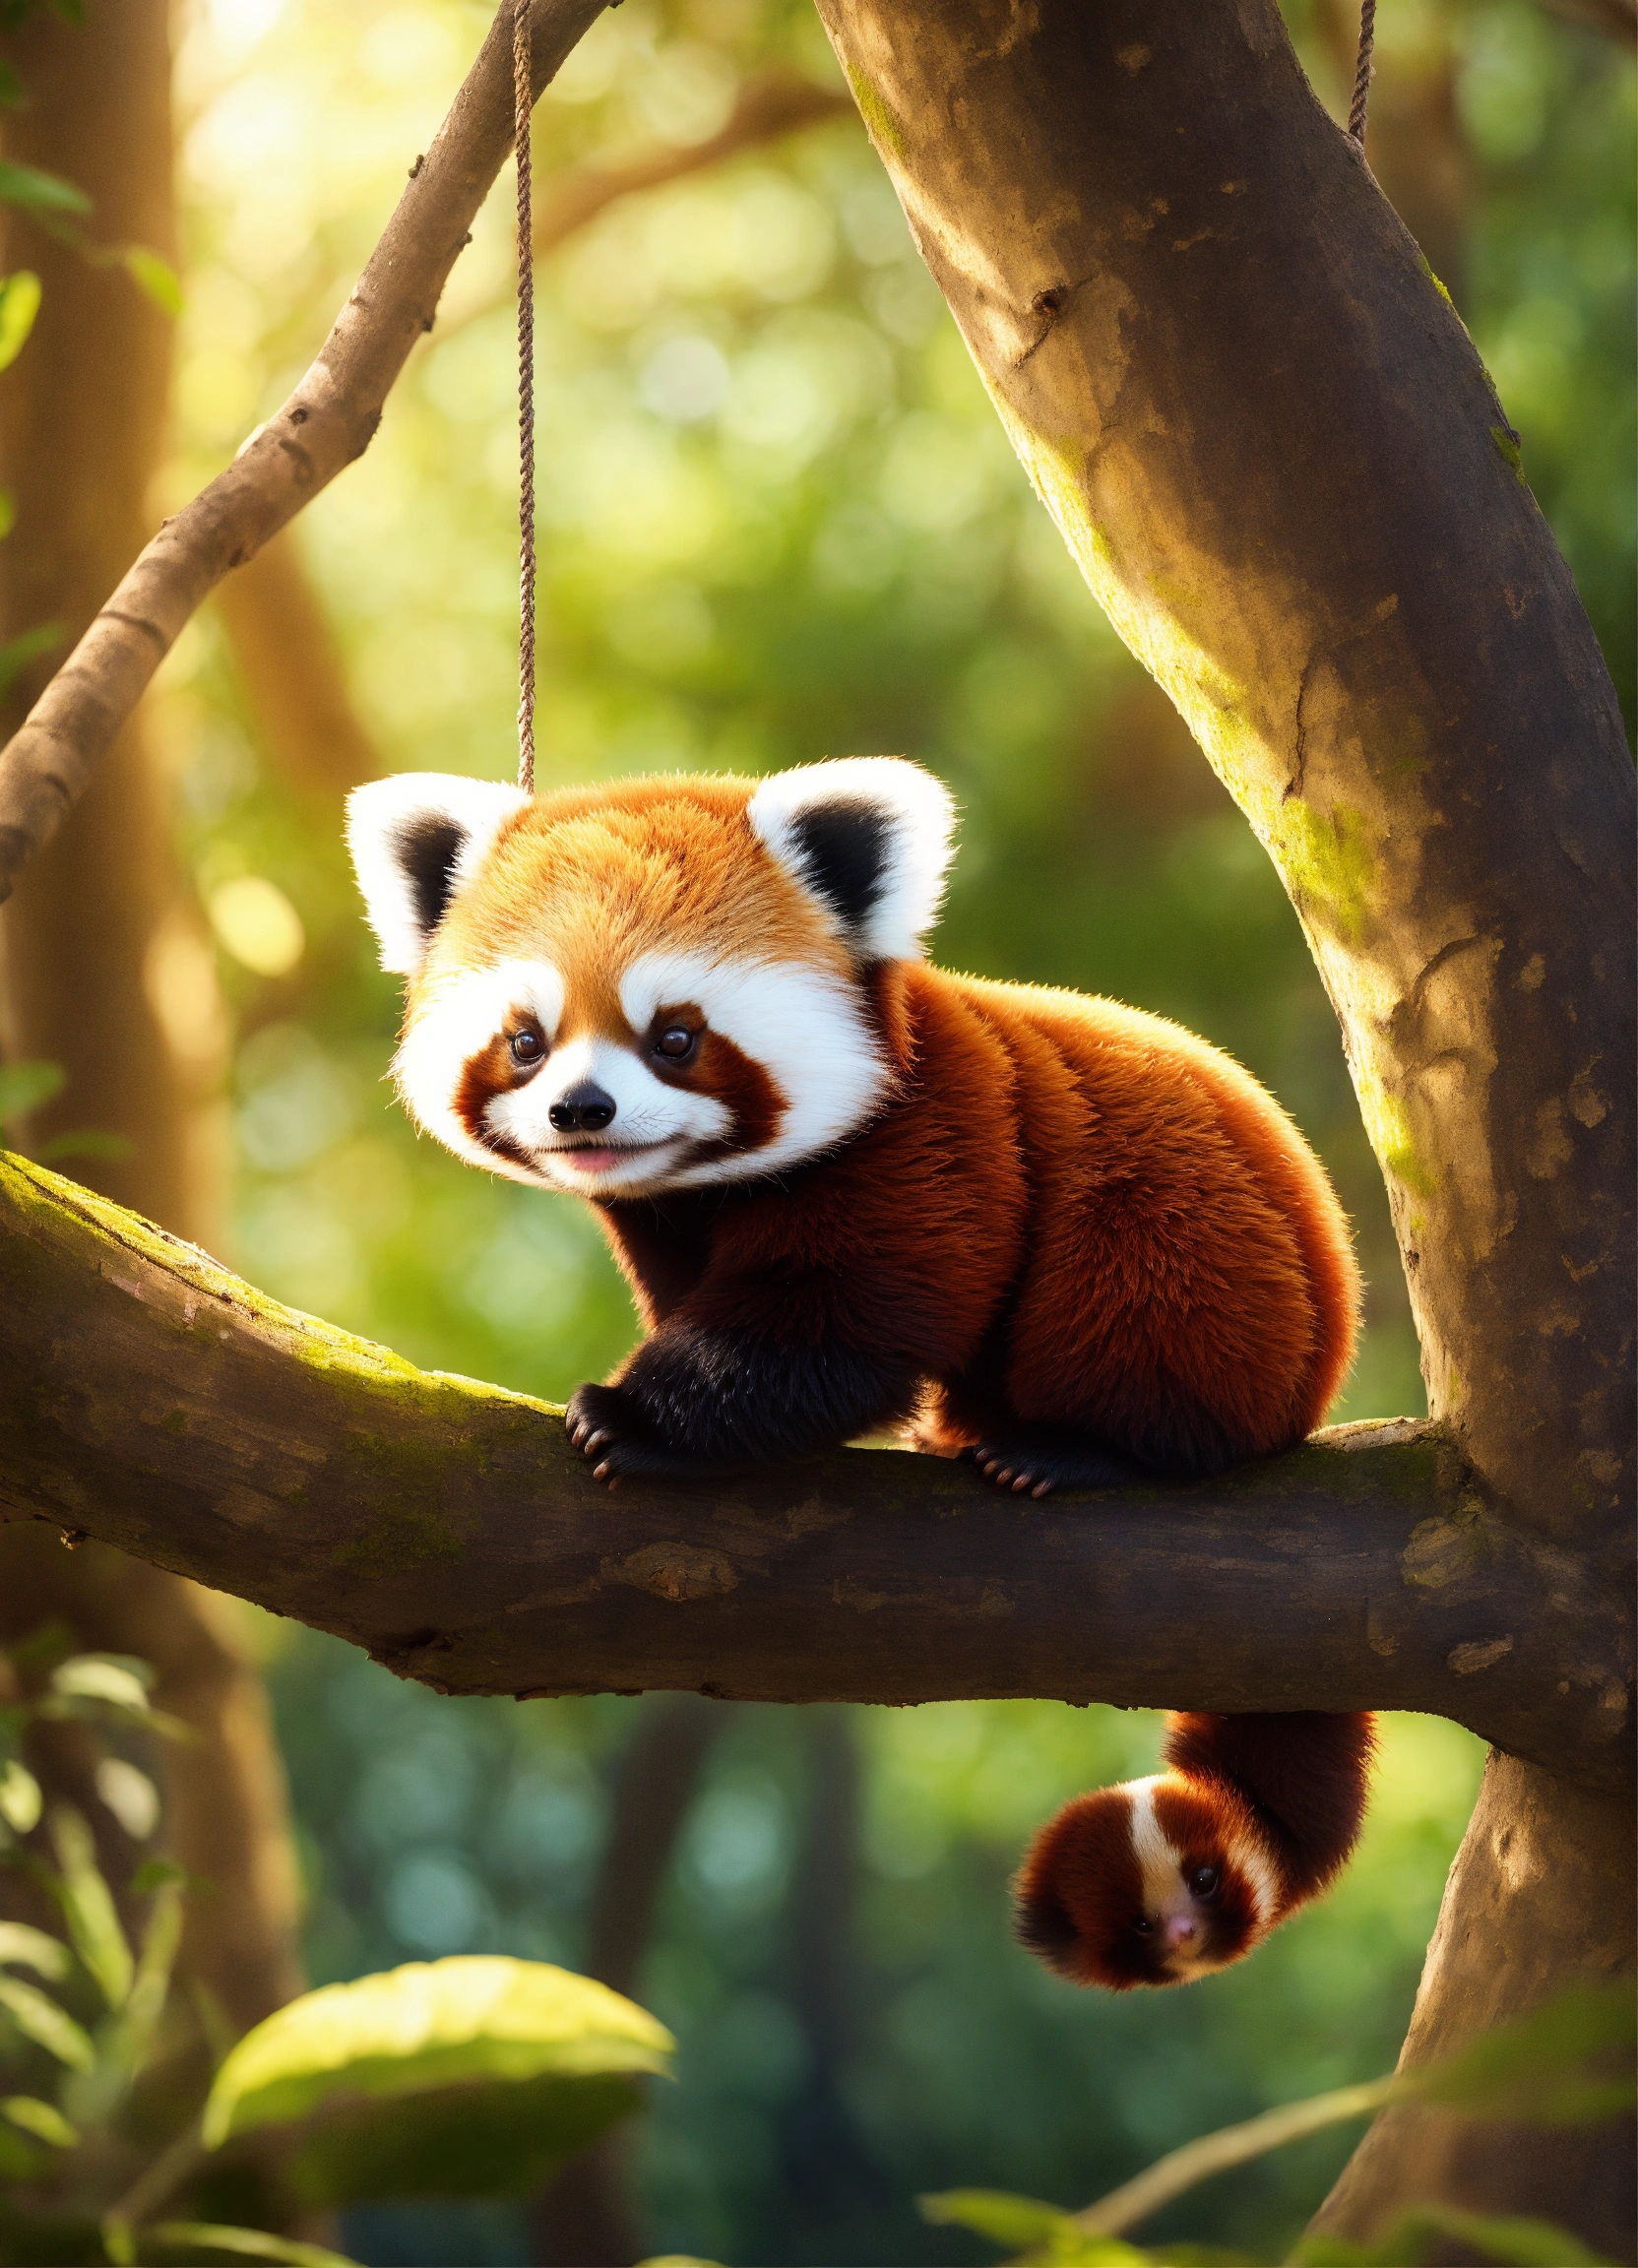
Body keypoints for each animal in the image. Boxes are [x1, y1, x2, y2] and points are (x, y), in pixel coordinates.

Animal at [348, 755, 1372, 1984]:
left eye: (674, 1037)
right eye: (526, 1040)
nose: (580, 1111)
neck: (706, 1182)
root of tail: (1318, 1371)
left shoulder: (936, 1131)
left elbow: (850, 1323)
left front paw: (634, 1419)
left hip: (1189, 1247)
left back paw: (1068, 1450)